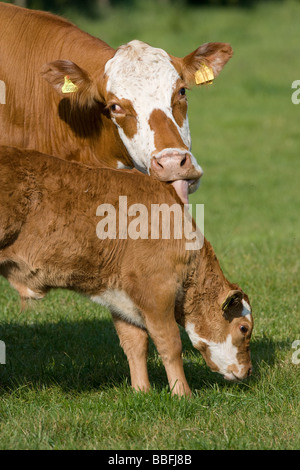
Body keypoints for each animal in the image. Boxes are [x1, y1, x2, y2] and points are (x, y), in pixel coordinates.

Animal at [0, 147, 253, 396]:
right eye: (244, 328)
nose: (249, 370)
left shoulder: (120, 298)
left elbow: (135, 344)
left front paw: (142, 391)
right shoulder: (157, 291)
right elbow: (170, 344)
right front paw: (183, 394)